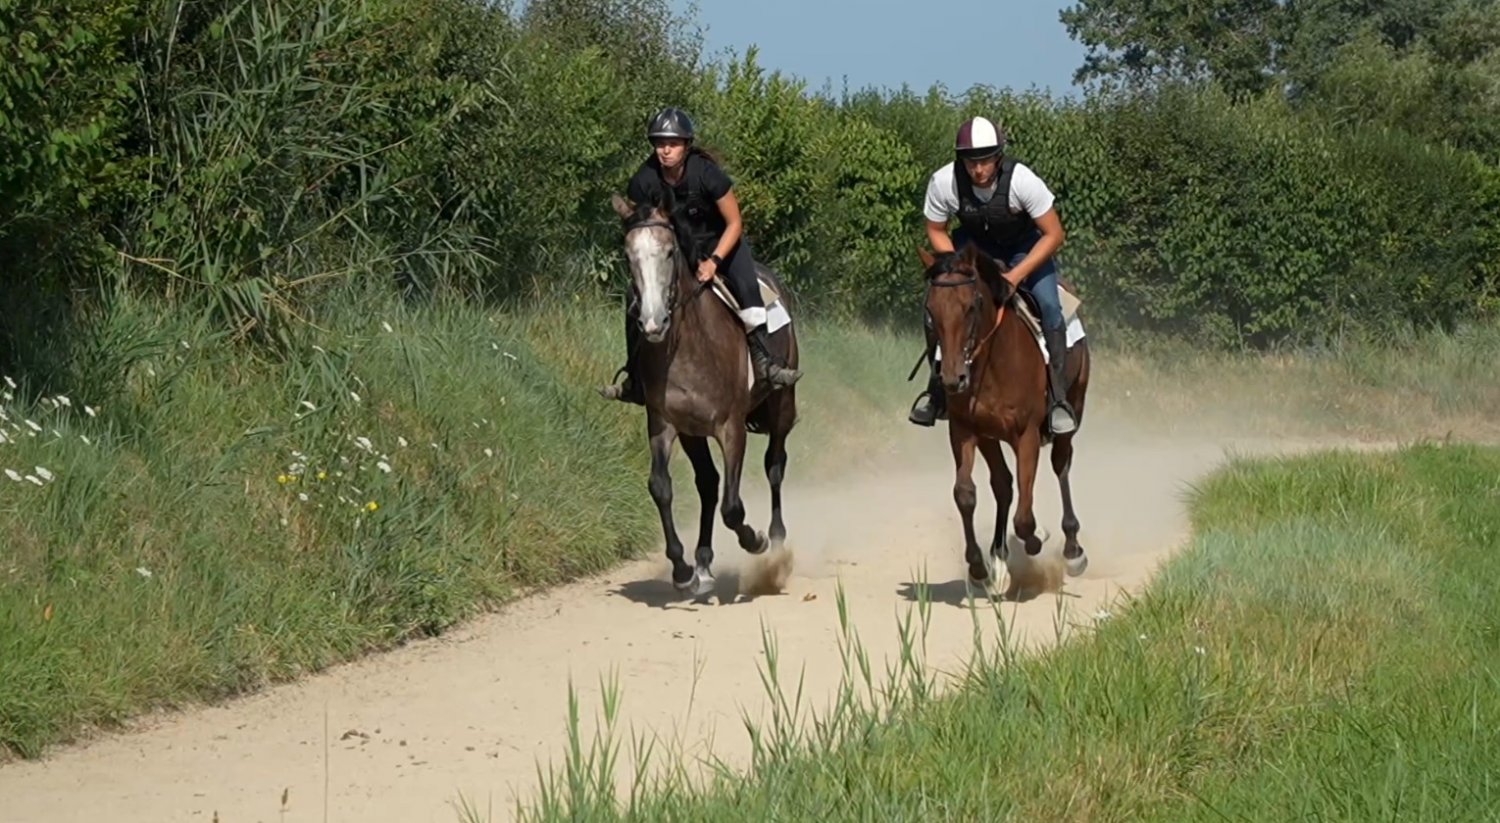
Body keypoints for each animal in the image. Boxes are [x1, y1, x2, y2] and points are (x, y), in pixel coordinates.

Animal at [609, 191, 800, 598]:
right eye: (629, 255)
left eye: (669, 252)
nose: (653, 323)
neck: (689, 346)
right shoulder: (666, 424)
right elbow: (662, 487)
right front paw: (683, 570)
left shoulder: (732, 428)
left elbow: (733, 506)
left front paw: (755, 541)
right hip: (693, 433)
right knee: (709, 484)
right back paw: (703, 563)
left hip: (782, 404)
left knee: (775, 466)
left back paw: (775, 543)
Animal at [918, 243, 1091, 588]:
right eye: (930, 311)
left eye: (971, 306)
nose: (952, 379)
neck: (991, 364)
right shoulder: (967, 431)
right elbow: (966, 494)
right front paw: (978, 565)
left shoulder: (1026, 436)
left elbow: (1024, 517)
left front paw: (1037, 537)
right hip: (990, 437)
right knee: (1003, 484)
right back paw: (998, 558)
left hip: (1073, 407)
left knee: (1060, 465)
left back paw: (1072, 550)